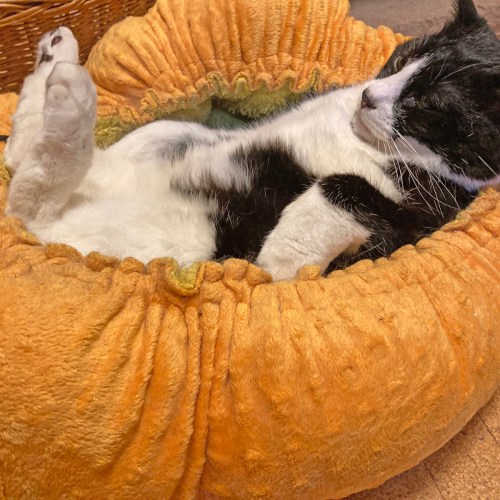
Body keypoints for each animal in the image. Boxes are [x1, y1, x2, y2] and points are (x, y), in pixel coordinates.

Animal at [4, 0, 499, 280]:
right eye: (400, 59)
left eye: (426, 104)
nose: (368, 96)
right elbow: (191, 131)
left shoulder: (415, 217)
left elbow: (342, 188)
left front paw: (277, 262)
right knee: (24, 156)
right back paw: (56, 59)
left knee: (35, 185)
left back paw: (70, 93)